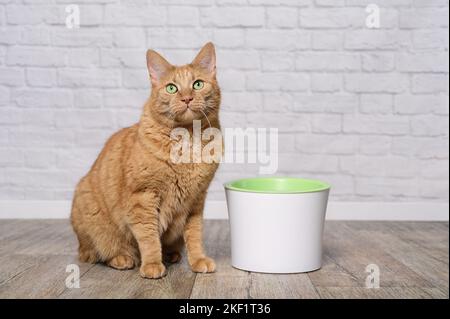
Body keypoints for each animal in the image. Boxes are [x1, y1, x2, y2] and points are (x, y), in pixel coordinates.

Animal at [70, 43, 221, 280]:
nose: (187, 98)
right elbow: (148, 237)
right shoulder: (142, 198)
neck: (187, 139)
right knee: (98, 252)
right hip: (92, 217)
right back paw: (122, 258)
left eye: (197, 84)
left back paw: (171, 254)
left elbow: (195, 235)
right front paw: (151, 264)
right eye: (172, 88)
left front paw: (198, 260)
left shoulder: (196, 200)